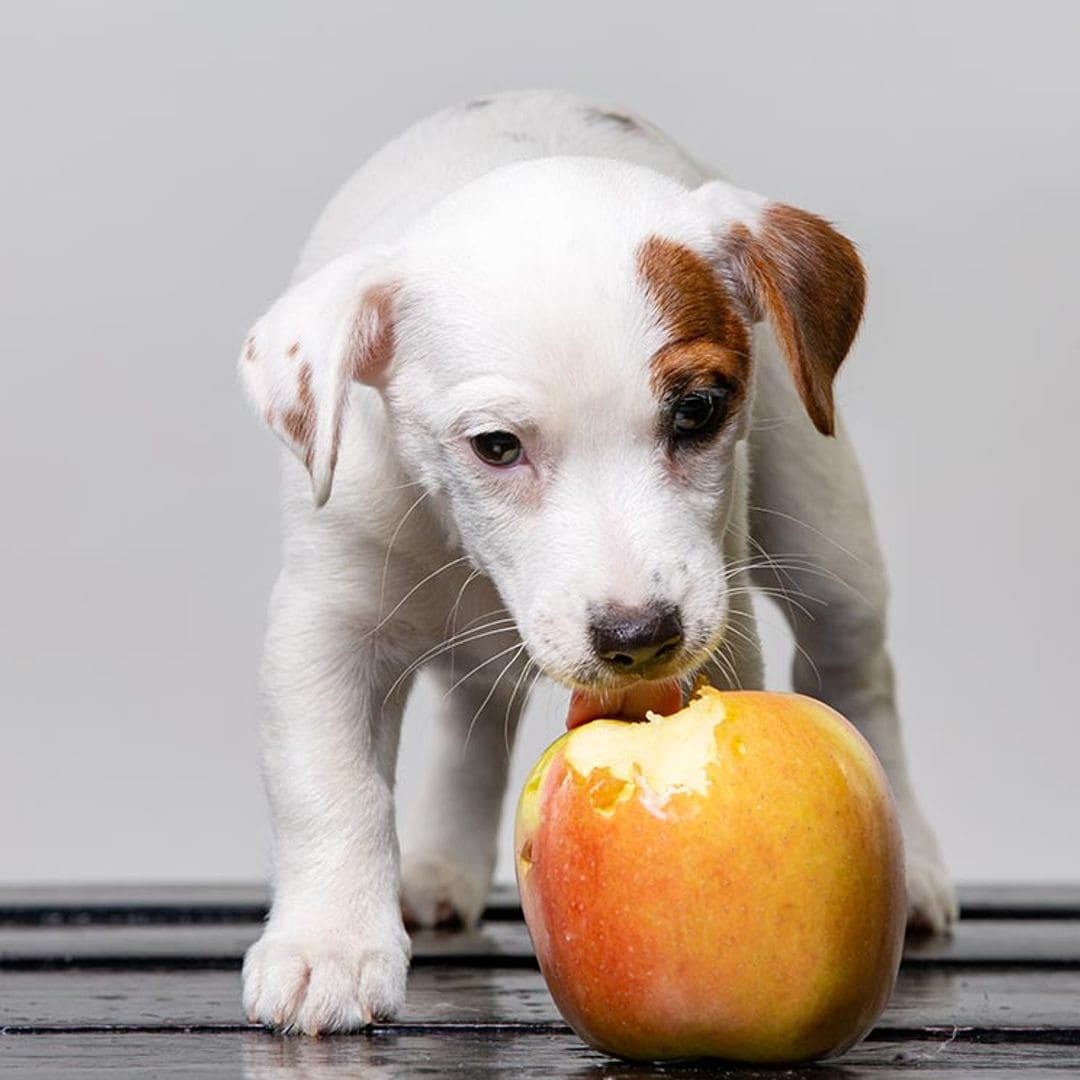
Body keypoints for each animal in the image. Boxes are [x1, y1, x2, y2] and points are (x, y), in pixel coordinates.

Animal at [236, 92, 954, 1036]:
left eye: (699, 409)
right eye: (495, 446)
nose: (638, 636)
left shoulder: (719, 624)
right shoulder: (325, 627)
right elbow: (329, 785)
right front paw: (329, 945)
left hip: (825, 529)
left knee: (857, 671)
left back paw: (916, 859)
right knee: (473, 718)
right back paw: (439, 865)